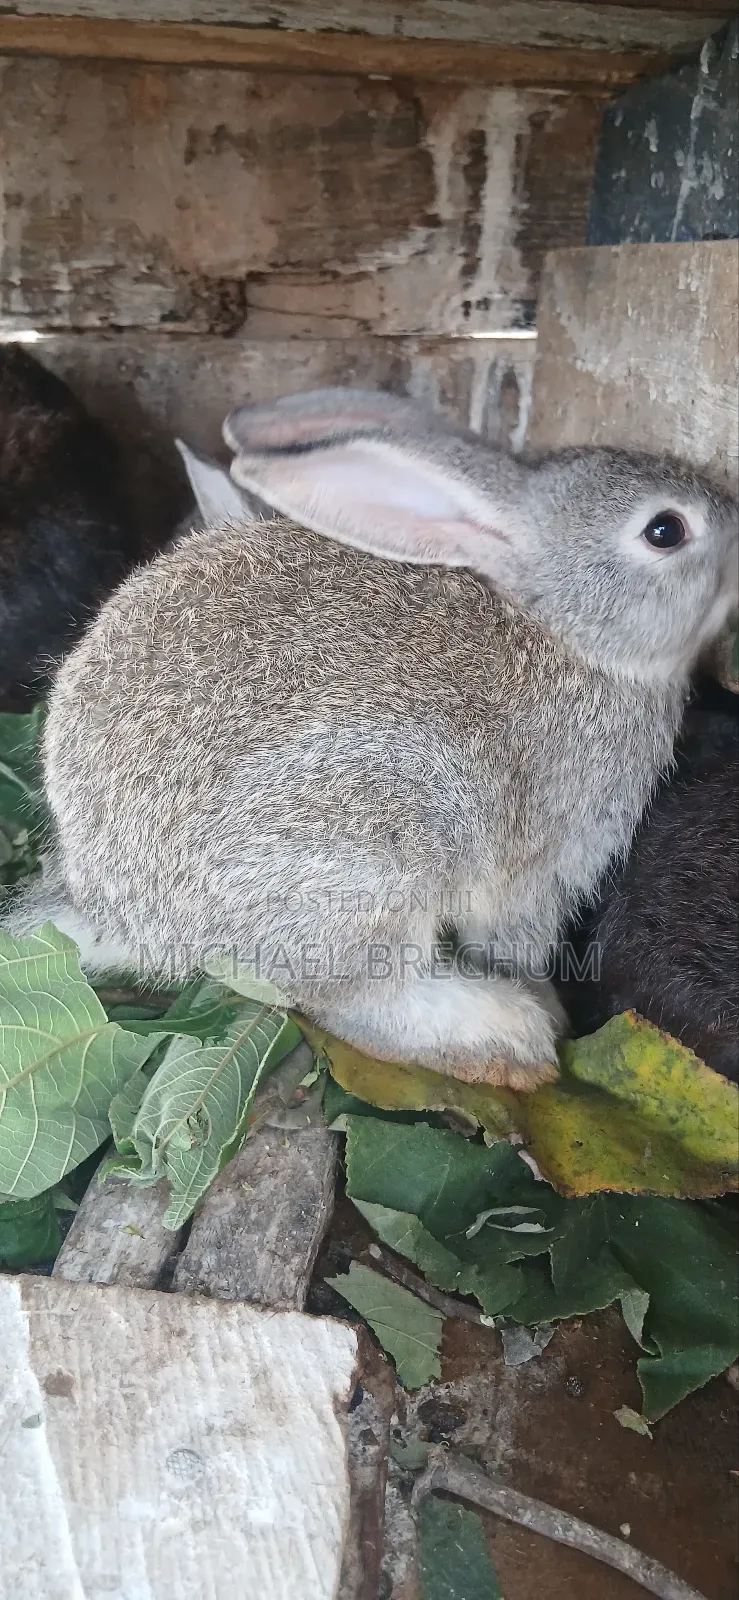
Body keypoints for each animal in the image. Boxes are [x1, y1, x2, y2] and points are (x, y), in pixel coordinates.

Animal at [6, 388, 738, 1090]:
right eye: (665, 530)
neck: (572, 634)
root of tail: (124, 915)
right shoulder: (541, 866)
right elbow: (513, 942)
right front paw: (549, 1006)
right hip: (384, 837)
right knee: (350, 997)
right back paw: (507, 1038)